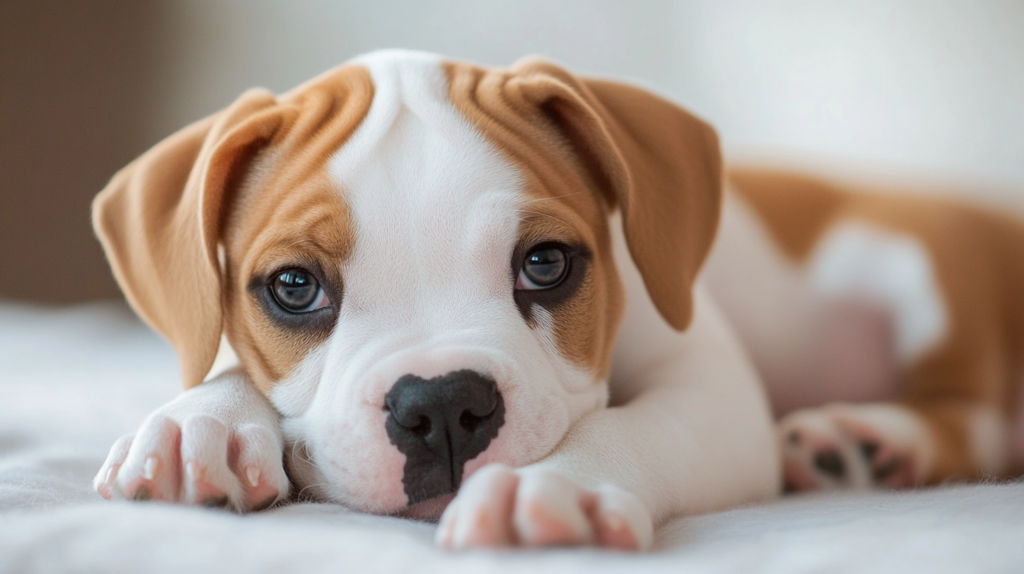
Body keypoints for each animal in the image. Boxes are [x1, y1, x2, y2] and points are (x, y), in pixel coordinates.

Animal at [92, 49, 778, 544]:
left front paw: (555, 485)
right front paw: (200, 422)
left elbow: (634, 426)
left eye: (545, 263)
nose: (443, 404)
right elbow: (231, 367)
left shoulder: (713, 394)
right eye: (294, 287)